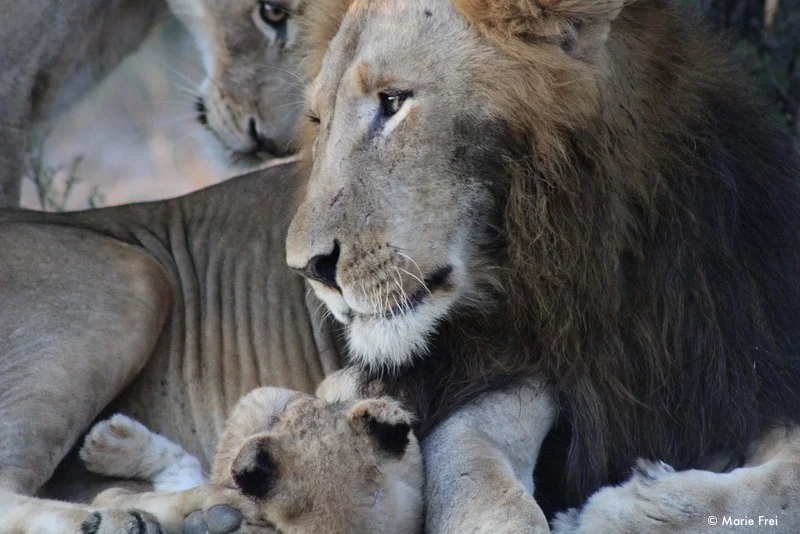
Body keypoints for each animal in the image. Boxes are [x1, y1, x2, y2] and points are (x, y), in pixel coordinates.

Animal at [285, 0, 800, 530]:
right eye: (318, 119)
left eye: (392, 101)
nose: (308, 268)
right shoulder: (500, 375)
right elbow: (480, 479)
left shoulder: (750, 369)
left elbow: (785, 484)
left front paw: (619, 510)